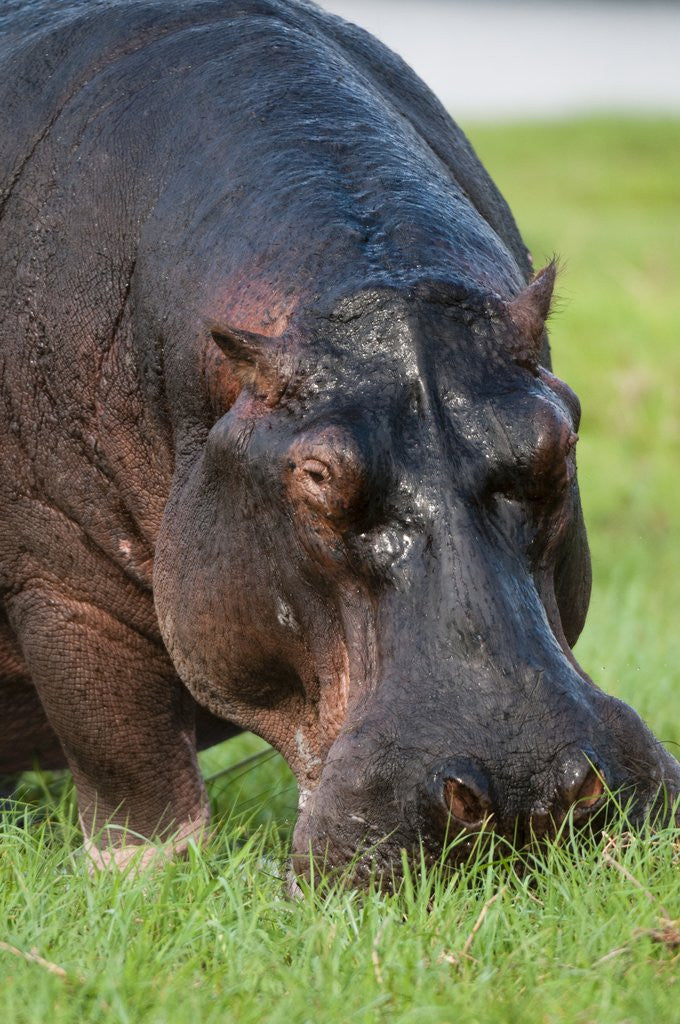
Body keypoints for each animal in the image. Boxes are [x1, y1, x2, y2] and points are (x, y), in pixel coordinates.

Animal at [0, 0, 677, 881]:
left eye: (559, 441)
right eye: (317, 475)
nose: (523, 790)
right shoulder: (63, 585)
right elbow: (130, 760)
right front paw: (147, 882)